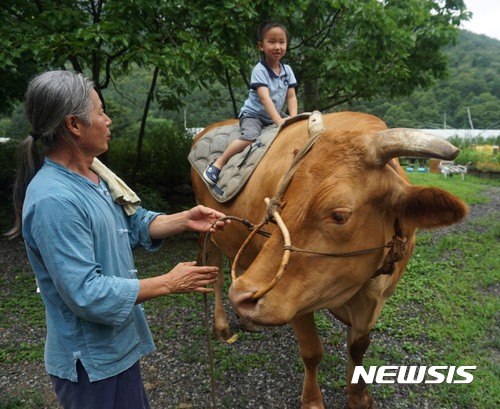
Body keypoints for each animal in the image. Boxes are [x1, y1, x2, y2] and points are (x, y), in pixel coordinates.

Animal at [189, 111, 466, 408]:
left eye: (339, 215)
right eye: (281, 200)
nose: (241, 297)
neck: (366, 286)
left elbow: (358, 348)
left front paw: (359, 395)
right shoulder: (294, 297)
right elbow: (312, 352)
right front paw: (312, 400)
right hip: (207, 230)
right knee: (215, 274)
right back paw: (222, 325)